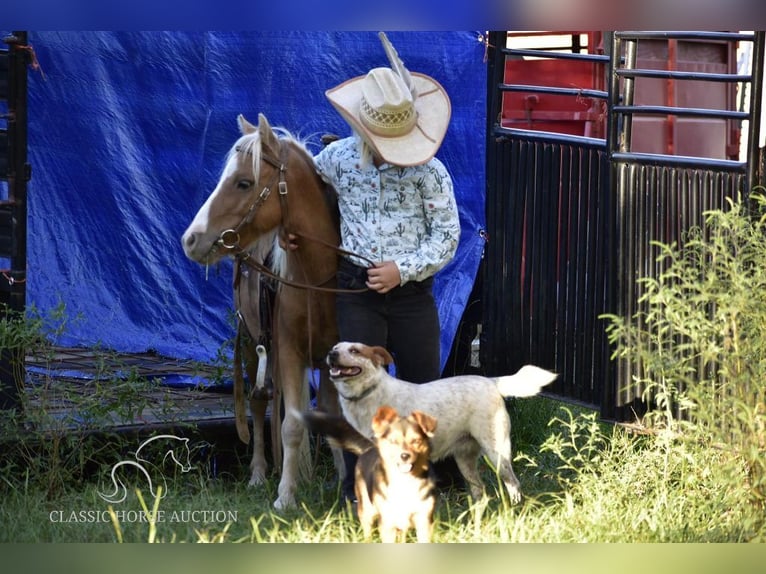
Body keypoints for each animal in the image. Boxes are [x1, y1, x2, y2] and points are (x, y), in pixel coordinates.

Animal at [182, 115, 342, 510]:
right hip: (252, 344)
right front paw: (285, 496)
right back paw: (257, 474)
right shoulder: (287, 352)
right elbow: (290, 425)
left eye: (244, 182)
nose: (191, 239)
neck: (316, 278)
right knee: (258, 403)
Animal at [304, 404, 440, 544]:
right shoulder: (387, 523)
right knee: (367, 531)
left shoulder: (424, 521)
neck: (405, 481)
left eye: (416, 441)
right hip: (366, 509)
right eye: (393, 441)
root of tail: (370, 448)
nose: (404, 456)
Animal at [324, 344, 560, 506]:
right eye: (335, 348)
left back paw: (514, 509)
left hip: (497, 453)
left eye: (354, 350)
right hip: (464, 459)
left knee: (512, 483)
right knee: (479, 490)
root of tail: (492, 381)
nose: (331, 354)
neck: (369, 396)